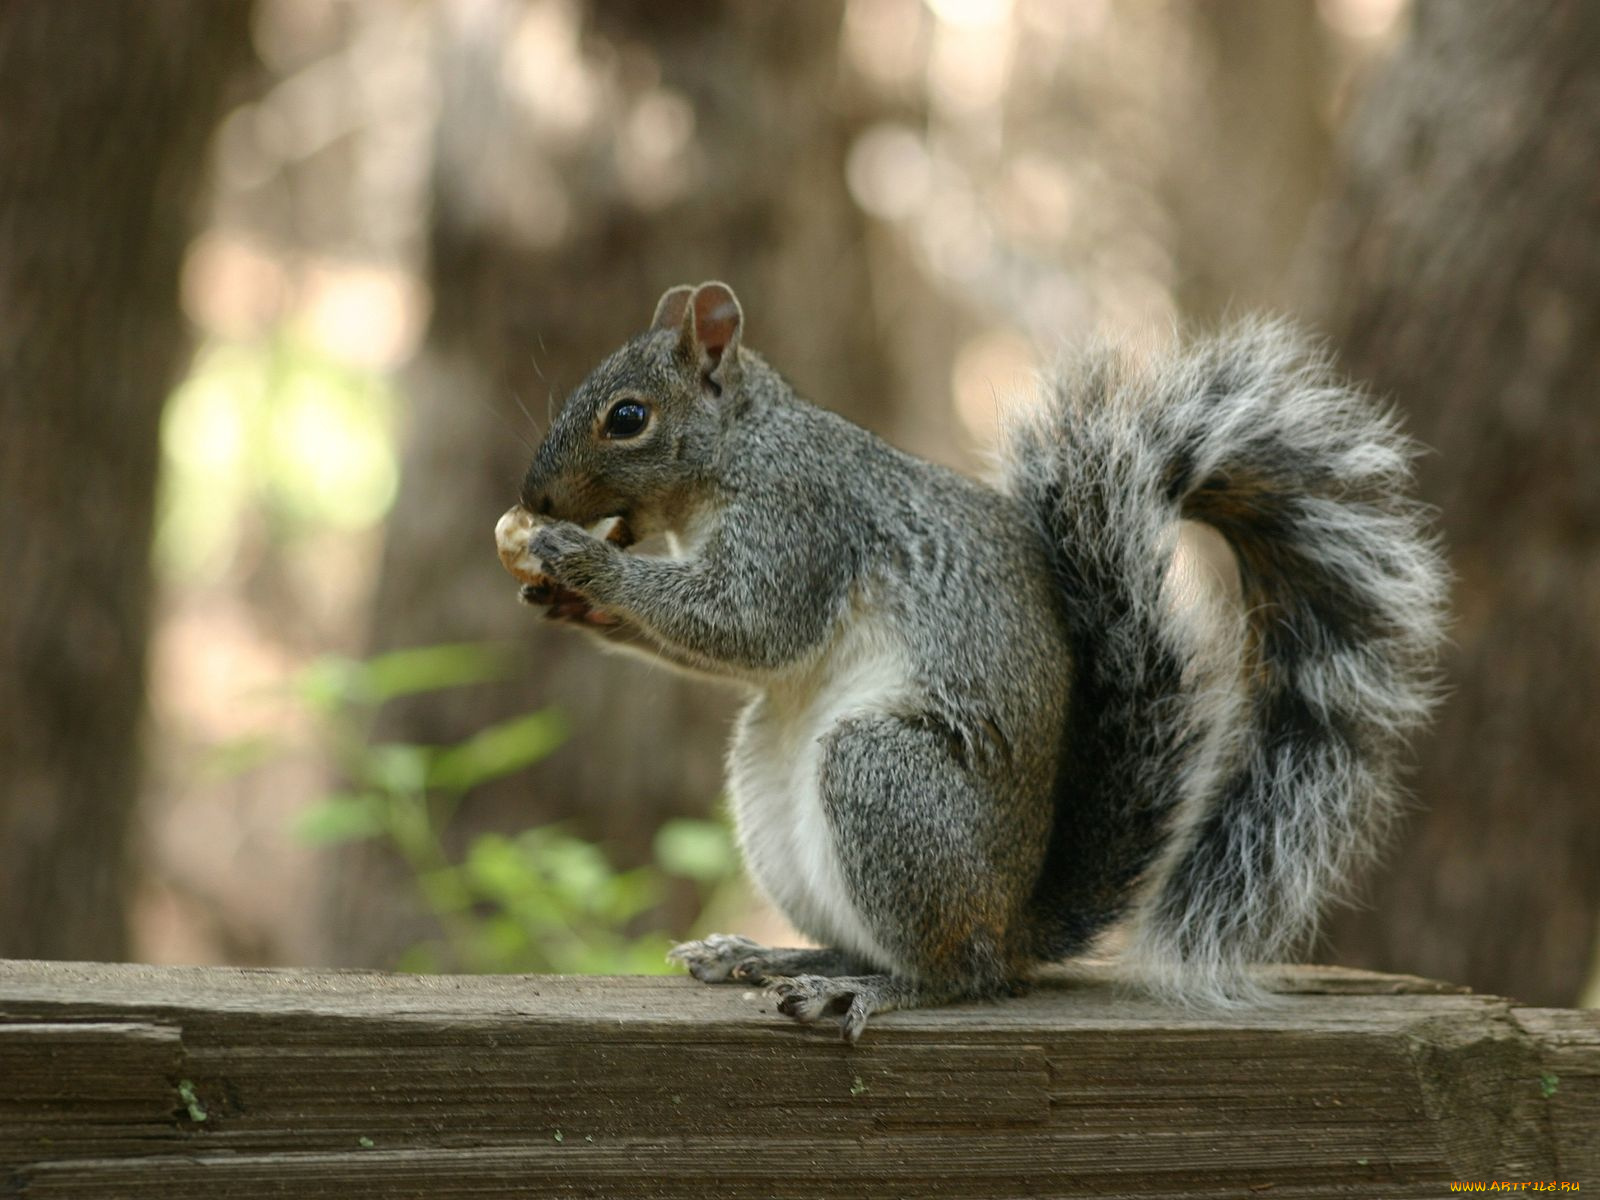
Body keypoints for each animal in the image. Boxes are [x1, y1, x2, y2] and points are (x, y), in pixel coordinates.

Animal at [502, 281, 1452, 1043]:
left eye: (628, 417)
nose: (534, 498)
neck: (742, 446)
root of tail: (1013, 923)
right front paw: (568, 595)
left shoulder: (801, 517)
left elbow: (749, 624)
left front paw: (580, 561)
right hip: (773, 782)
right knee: (867, 936)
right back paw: (774, 956)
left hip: (884, 775)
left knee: (958, 976)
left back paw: (866, 991)